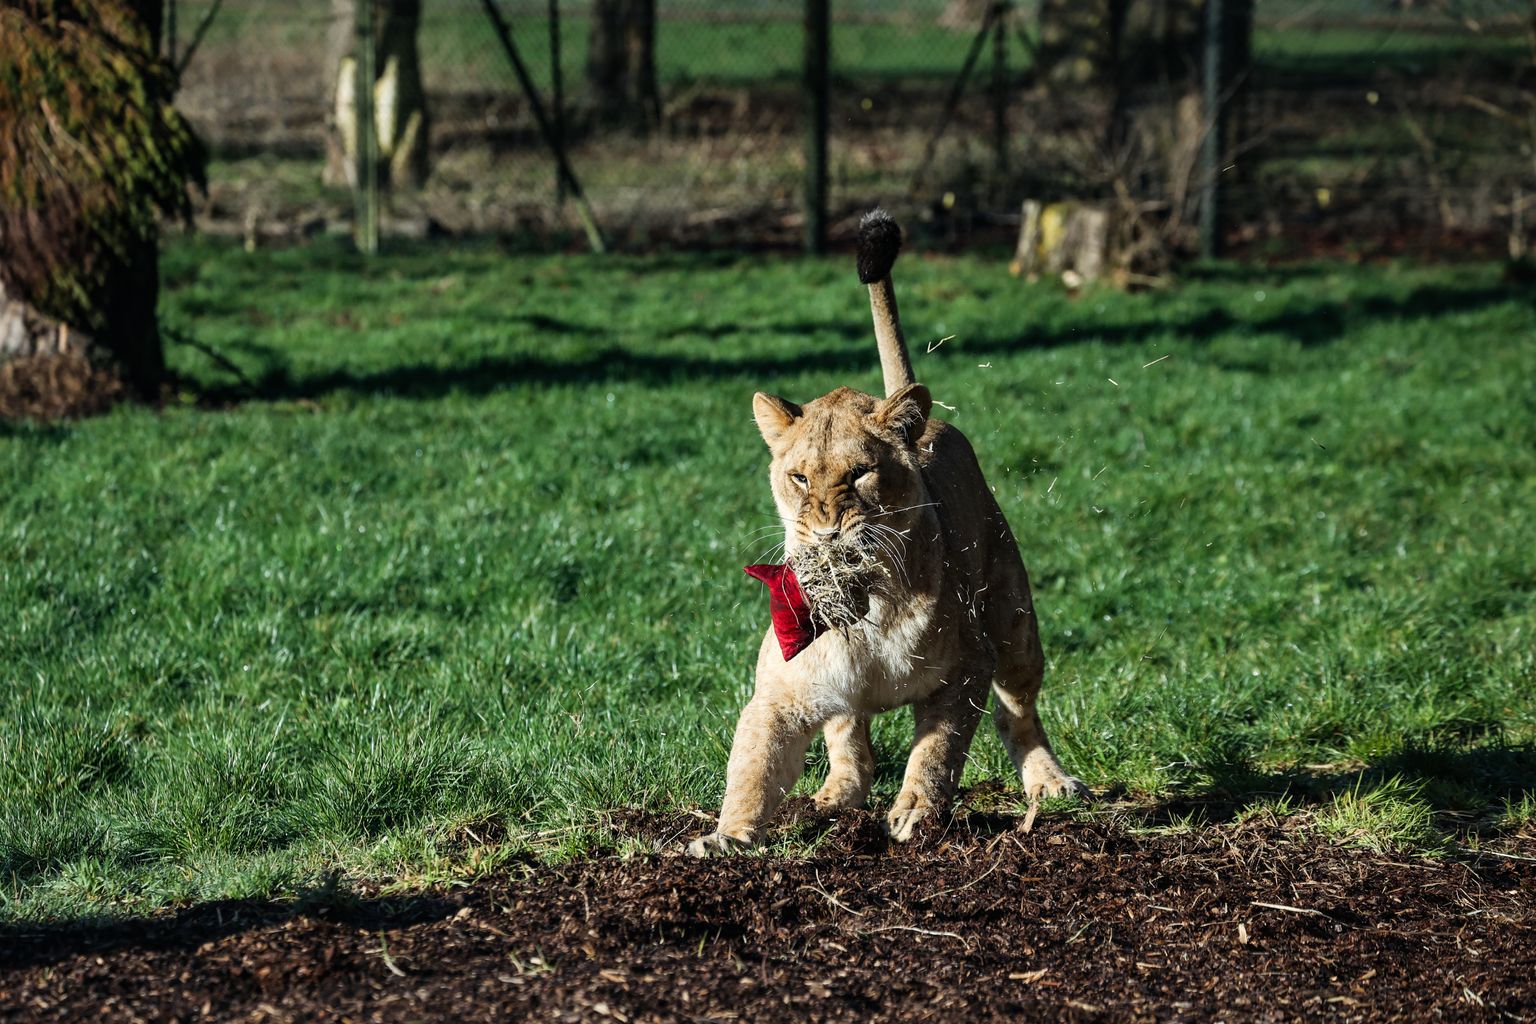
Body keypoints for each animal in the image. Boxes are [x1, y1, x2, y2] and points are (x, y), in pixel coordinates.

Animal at [687, 210, 1088, 856]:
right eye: (799, 477)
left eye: (859, 474)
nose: (826, 528)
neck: (864, 597)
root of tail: (931, 423)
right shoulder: (779, 693)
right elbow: (752, 767)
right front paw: (727, 838)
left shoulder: (967, 667)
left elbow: (936, 751)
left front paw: (915, 814)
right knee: (852, 746)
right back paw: (829, 800)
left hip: (1014, 622)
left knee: (1017, 711)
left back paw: (1049, 782)